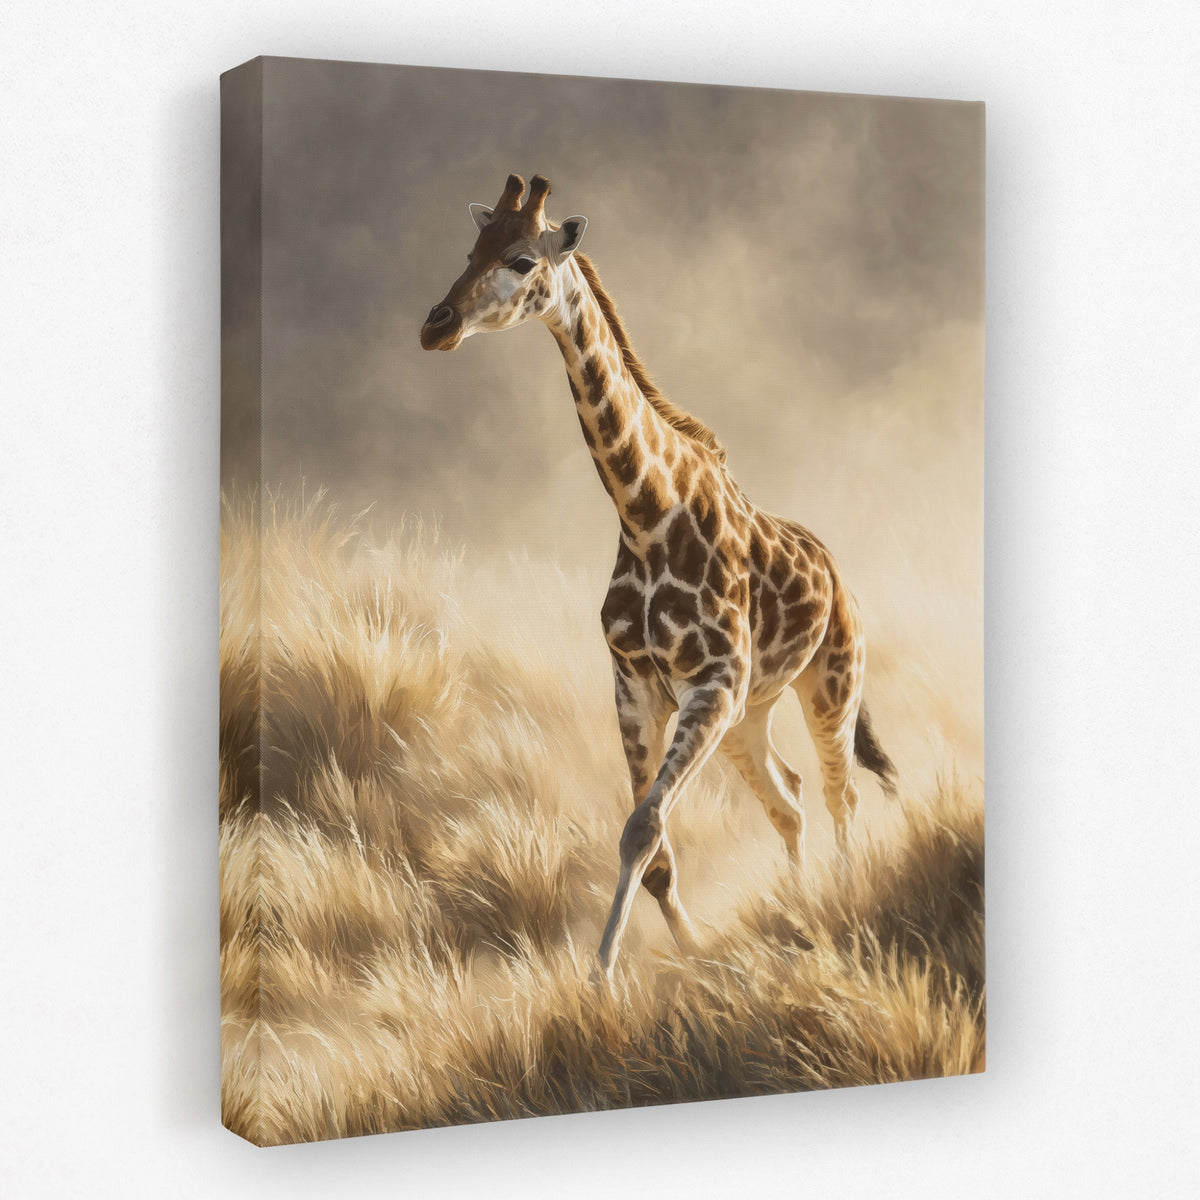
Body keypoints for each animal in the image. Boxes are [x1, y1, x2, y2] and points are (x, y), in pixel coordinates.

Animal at [420, 173, 897, 979]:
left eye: (521, 260)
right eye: (468, 251)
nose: (436, 324)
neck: (646, 514)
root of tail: (840, 576)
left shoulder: (711, 685)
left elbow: (642, 831)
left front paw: (601, 979)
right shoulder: (637, 685)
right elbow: (658, 850)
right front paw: (689, 954)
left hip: (828, 685)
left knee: (841, 795)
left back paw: (839, 901)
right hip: (750, 716)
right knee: (790, 797)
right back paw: (798, 906)